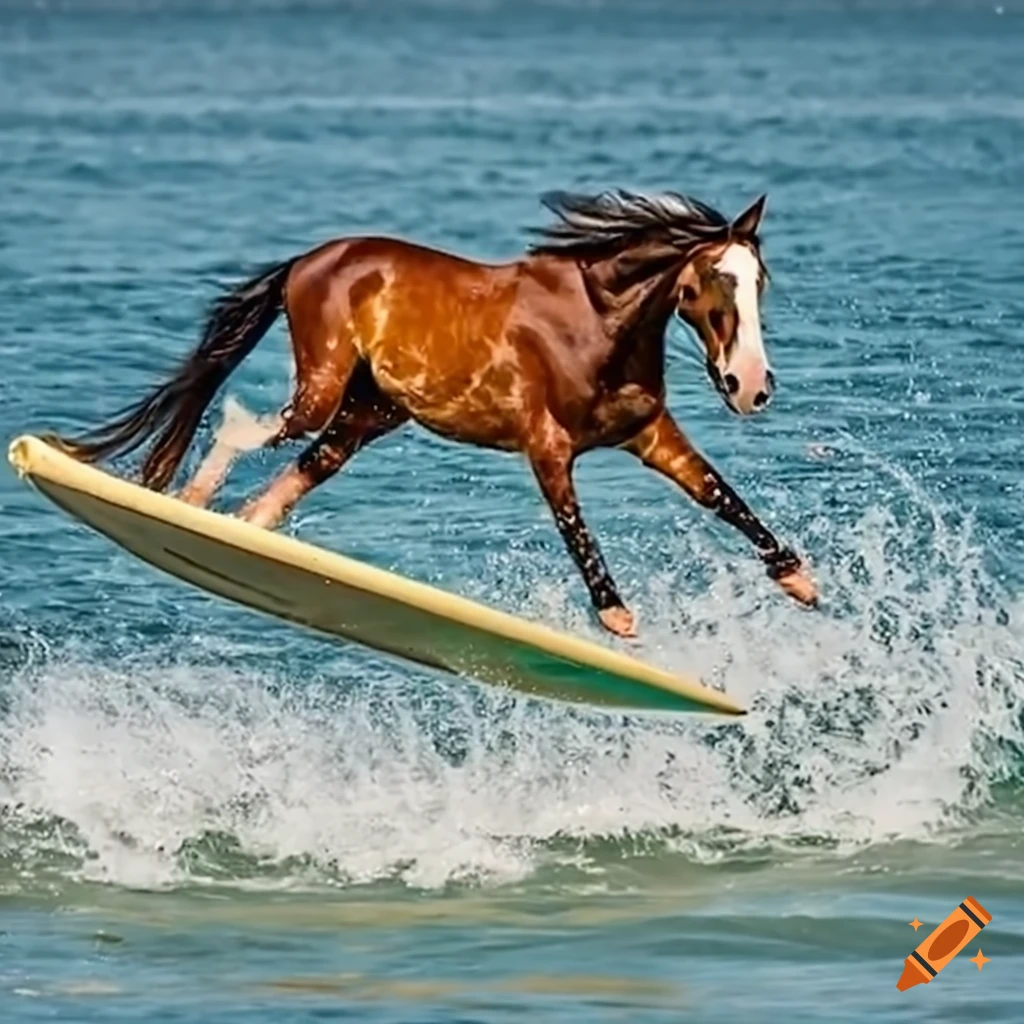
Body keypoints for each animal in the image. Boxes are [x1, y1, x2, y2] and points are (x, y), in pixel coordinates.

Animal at [48, 187, 817, 638]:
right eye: (712, 279)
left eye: (758, 281)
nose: (751, 386)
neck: (597, 325)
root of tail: (310, 260)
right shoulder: (547, 449)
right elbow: (575, 528)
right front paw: (618, 616)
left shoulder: (650, 436)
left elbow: (722, 495)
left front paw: (798, 578)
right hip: (325, 390)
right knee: (254, 430)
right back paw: (194, 505)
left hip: (369, 412)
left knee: (296, 474)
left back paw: (237, 537)